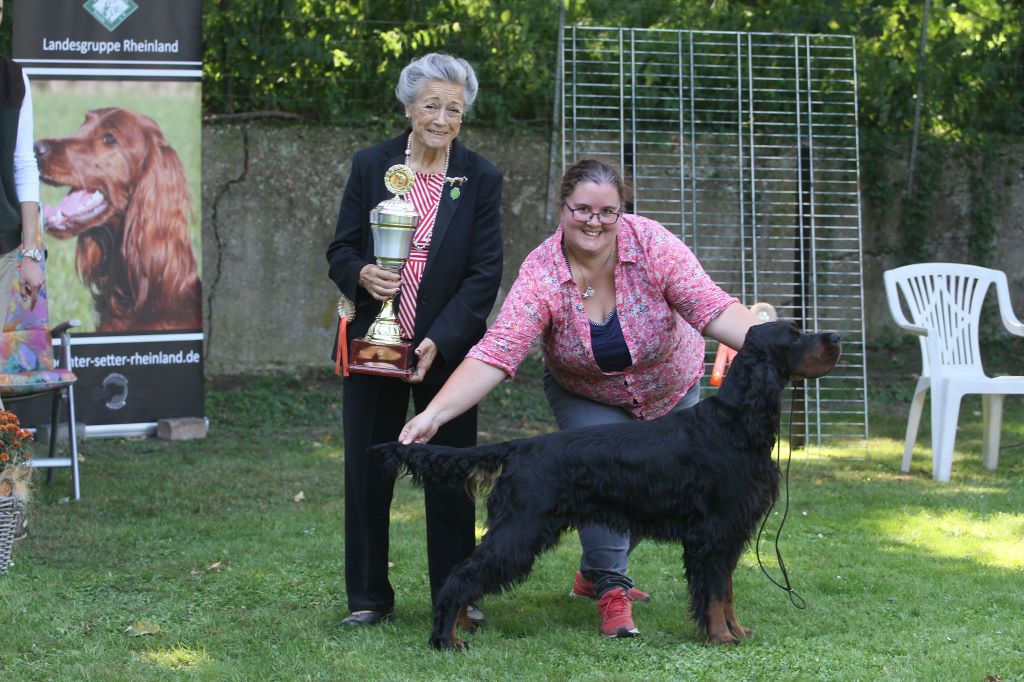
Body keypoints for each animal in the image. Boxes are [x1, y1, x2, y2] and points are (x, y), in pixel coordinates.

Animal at [374, 319, 839, 647]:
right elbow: (712, 594)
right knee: (460, 577)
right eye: (794, 335)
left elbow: (725, 591)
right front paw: (721, 638)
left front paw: (736, 632)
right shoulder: (712, 532)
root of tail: (521, 446)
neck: (737, 423)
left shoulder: (728, 533)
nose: (835, 335)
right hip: (521, 529)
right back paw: (445, 639)